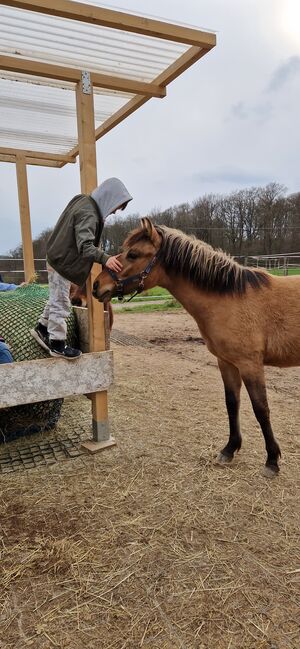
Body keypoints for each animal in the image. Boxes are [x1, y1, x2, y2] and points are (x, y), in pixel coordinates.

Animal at [92, 218, 300, 476]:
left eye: (133, 254)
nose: (96, 285)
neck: (230, 298)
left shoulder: (250, 364)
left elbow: (261, 409)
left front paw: (272, 460)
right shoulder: (227, 362)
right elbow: (232, 404)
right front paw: (229, 449)